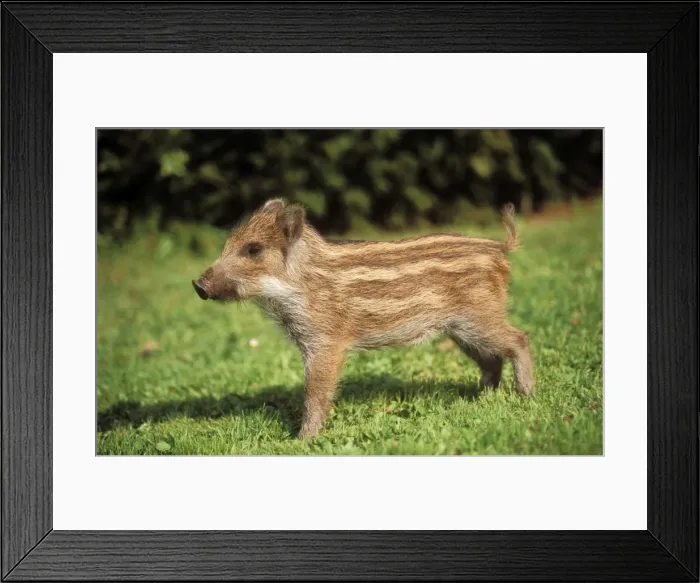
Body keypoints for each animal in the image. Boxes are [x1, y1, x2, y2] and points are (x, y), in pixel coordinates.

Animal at [193, 198, 534, 438]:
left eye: (254, 250)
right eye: (228, 243)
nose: (198, 285)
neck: (299, 285)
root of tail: (498, 247)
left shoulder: (326, 342)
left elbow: (316, 391)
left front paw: (302, 440)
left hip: (479, 317)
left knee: (519, 339)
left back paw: (525, 395)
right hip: (462, 329)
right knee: (491, 359)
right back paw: (482, 399)